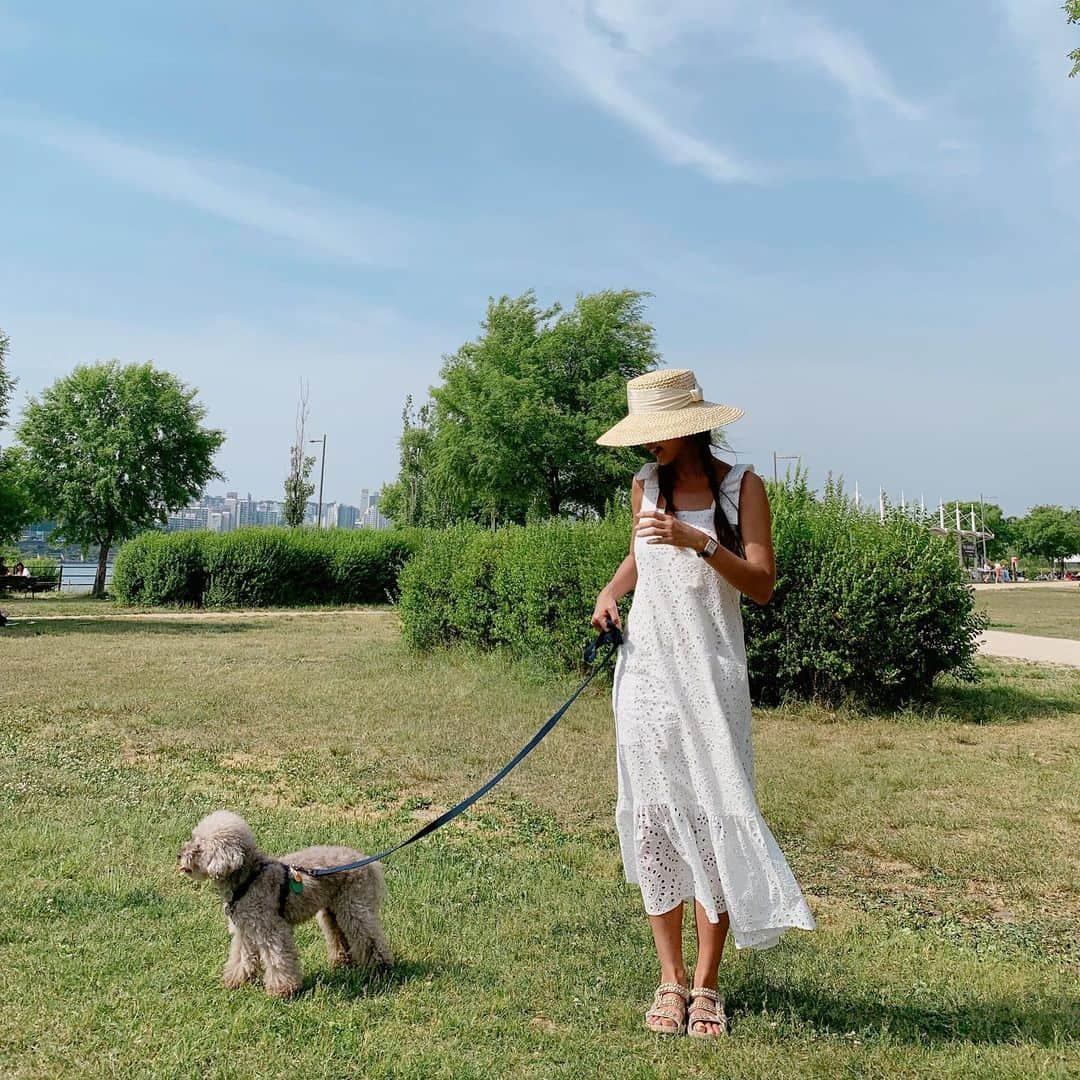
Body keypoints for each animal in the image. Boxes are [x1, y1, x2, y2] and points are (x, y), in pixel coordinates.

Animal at [178, 812, 393, 993]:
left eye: (199, 847)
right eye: (193, 838)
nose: (179, 855)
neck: (249, 878)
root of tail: (368, 862)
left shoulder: (271, 928)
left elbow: (277, 958)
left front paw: (282, 989)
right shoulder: (244, 930)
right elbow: (241, 957)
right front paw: (235, 981)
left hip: (354, 905)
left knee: (369, 937)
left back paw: (380, 967)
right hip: (332, 910)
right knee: (339, 934)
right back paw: (343, 963)